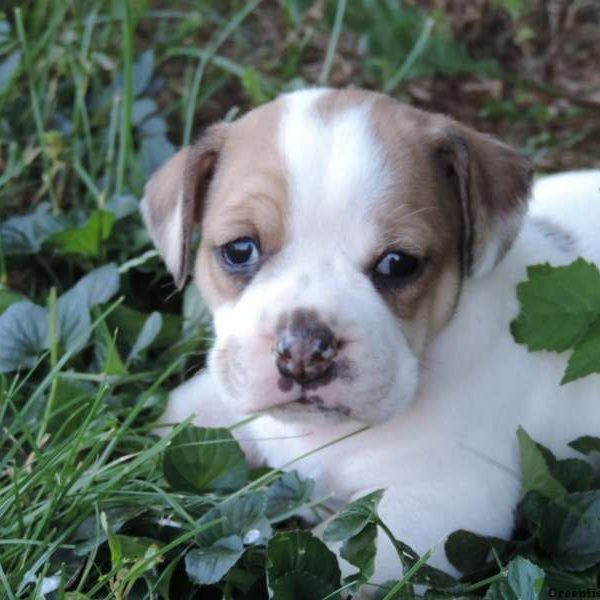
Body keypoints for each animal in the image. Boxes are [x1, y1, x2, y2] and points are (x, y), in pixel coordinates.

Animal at [142, 89, 600, 584]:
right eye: (240, 249)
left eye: (398, 264)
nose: (303, 351)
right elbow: (180, 417)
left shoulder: (438, 510)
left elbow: (334, 556)